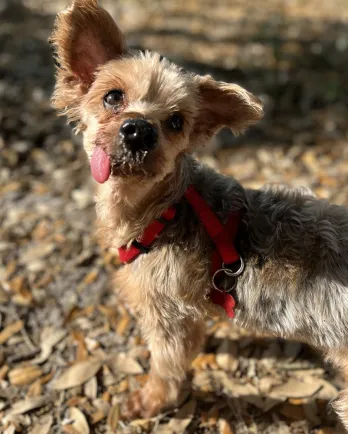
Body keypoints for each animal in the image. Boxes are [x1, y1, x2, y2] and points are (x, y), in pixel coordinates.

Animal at [49, 0, 348, 428]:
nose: (139, 130)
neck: (164, 211)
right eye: (112, 97)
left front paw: (151, 402)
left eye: (176, 121)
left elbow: (167, 366)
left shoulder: (167, 313)